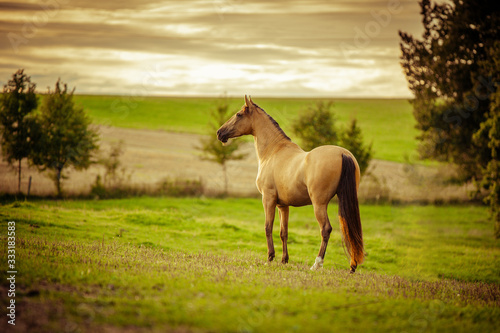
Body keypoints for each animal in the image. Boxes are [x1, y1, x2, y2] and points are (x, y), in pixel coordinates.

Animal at [215, 95, 364, 272]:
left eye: (238, 114)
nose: (219, 132)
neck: (273, 151)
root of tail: (343, 154)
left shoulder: (268, 199)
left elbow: (268, 227)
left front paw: (270, 258)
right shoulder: (283, 205)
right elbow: (283, 232)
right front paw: (284, 260)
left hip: (319, 204)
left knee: (326, 229)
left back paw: (316, 264)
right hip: (344, 200)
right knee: (348, 228)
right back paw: (352, 266)